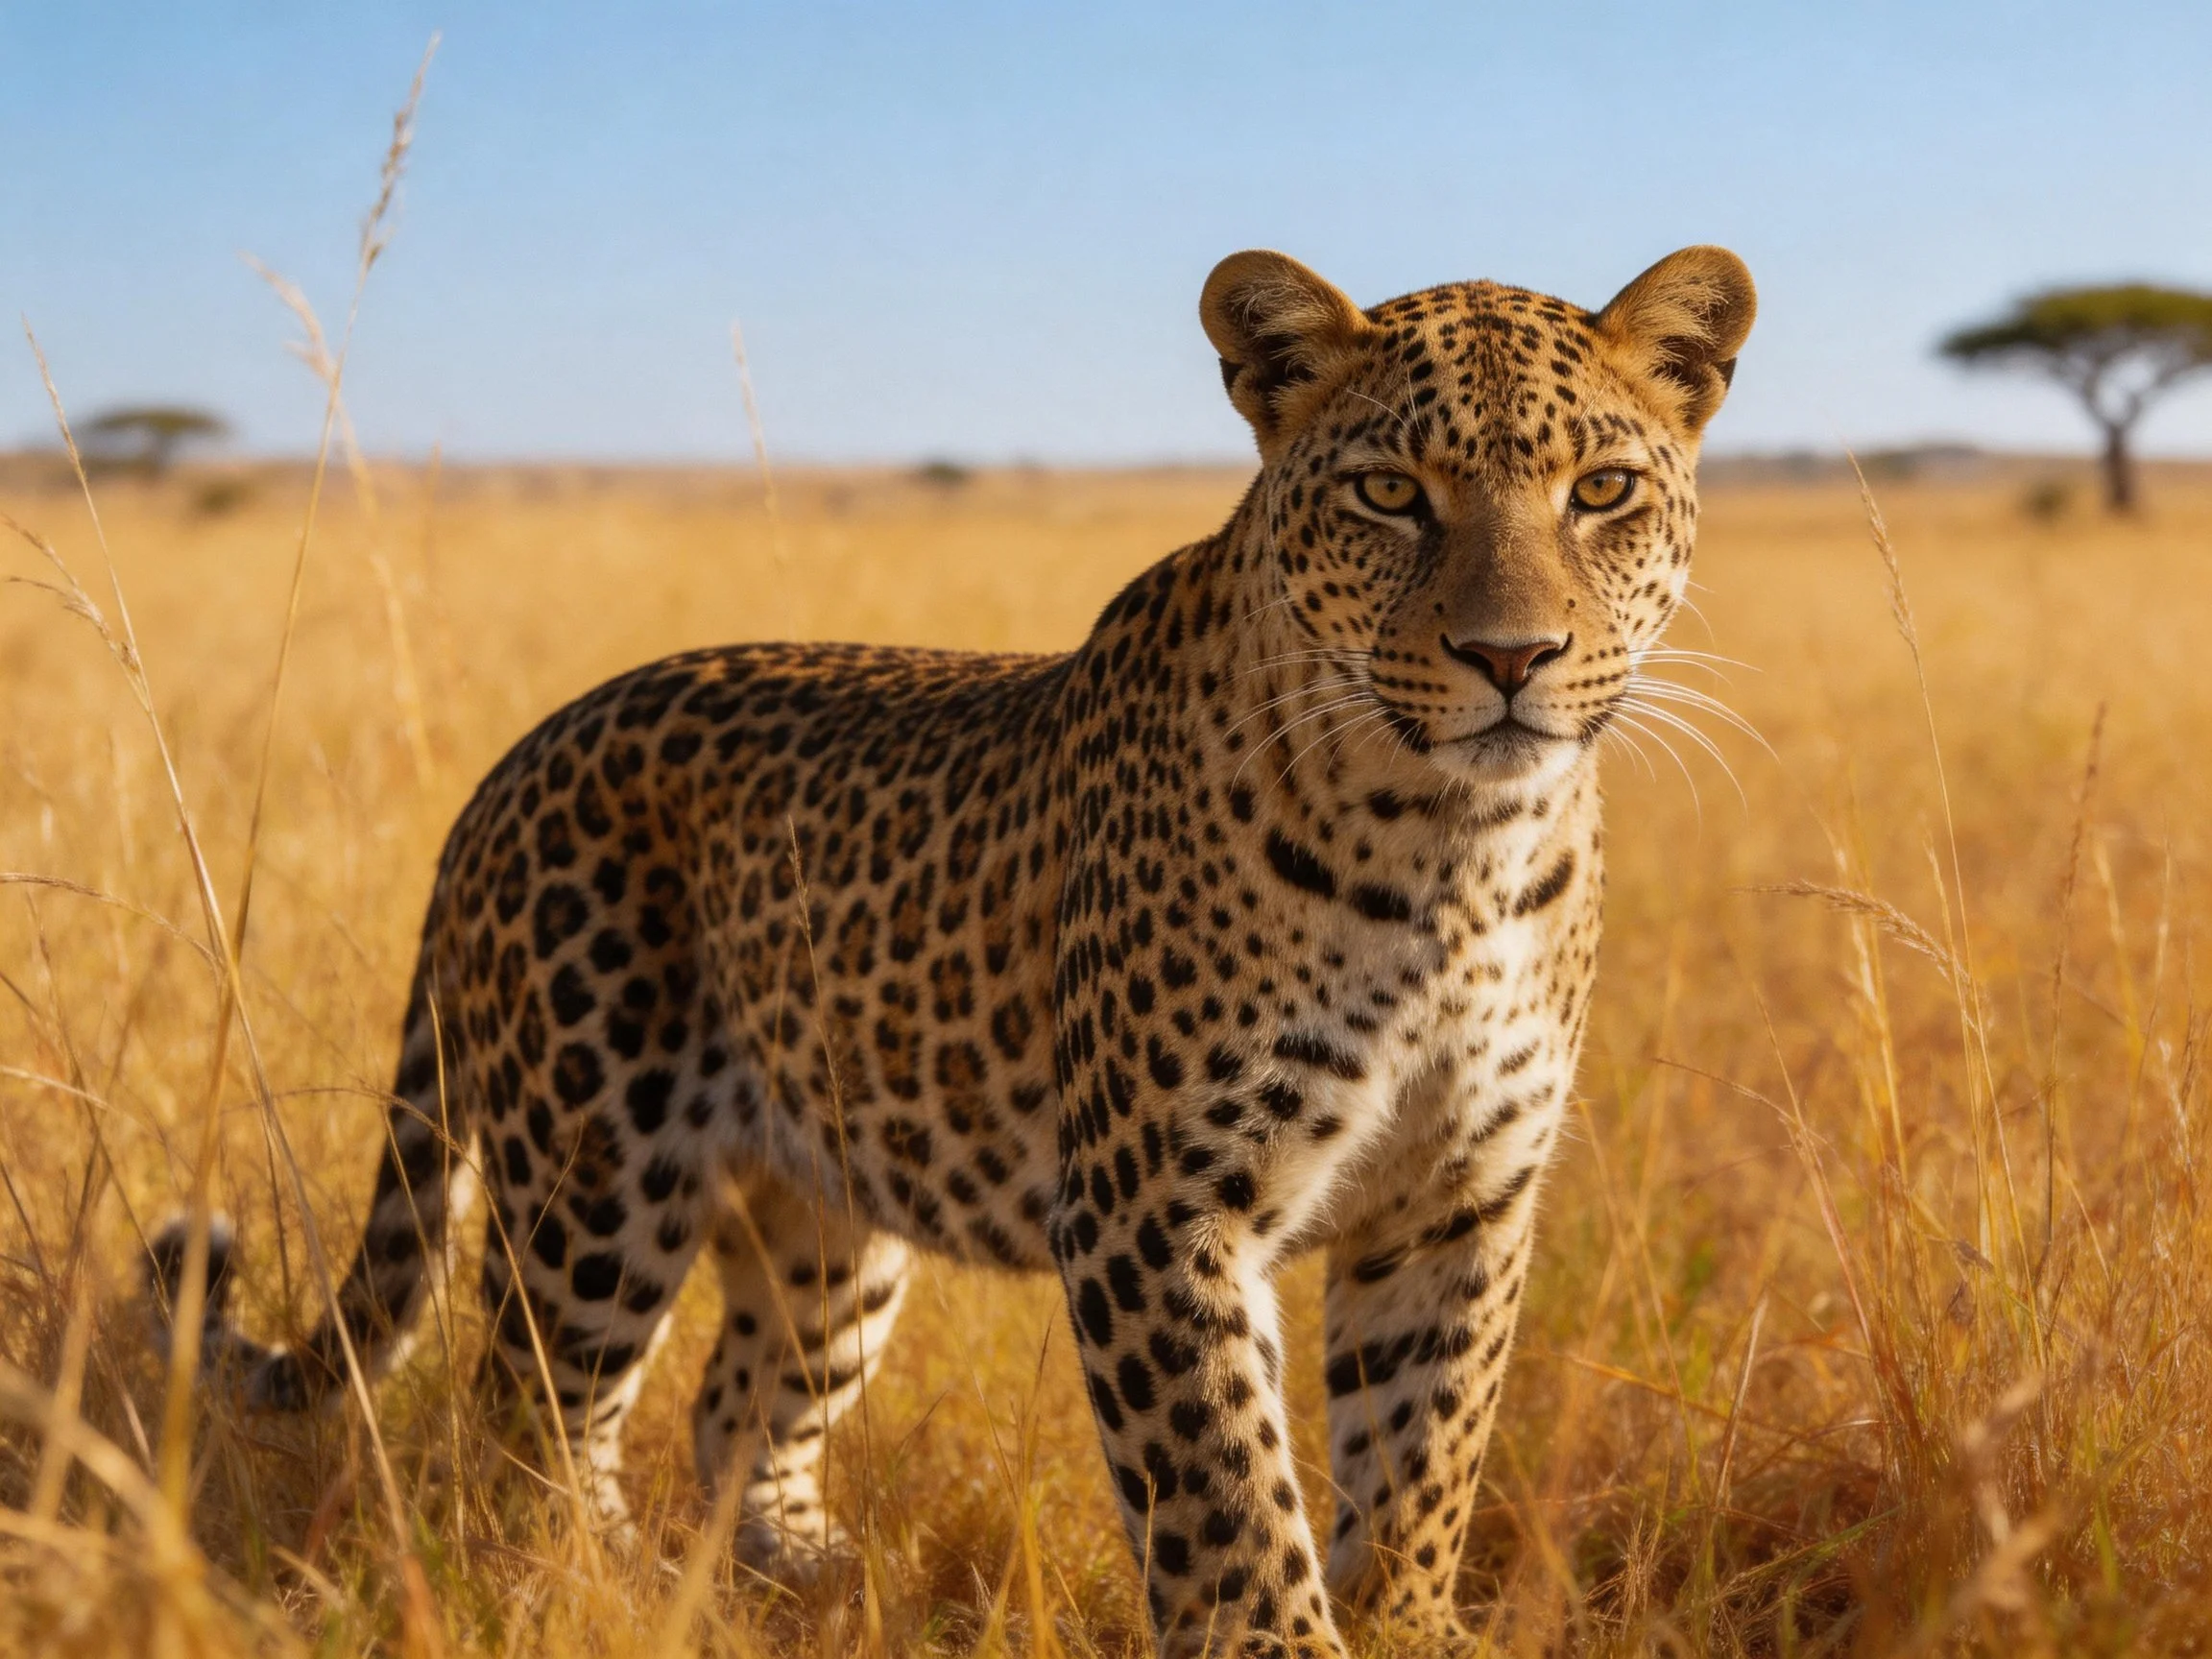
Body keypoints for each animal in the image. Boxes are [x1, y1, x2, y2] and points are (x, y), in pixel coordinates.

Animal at [152, 243, 1753, 1656]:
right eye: (1390, 495)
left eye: (1601, 492)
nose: (1511, 659)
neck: (1453, 853)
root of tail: (514, 760)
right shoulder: (1160, 1210)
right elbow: (1226, 1489)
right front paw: (1286, 1644)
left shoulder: (1457, 1202)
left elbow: (1425, 1455)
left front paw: (1412, 1626)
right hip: (594, 1179)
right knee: (528, 1416)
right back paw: (594, 1588)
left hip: (829, 1217)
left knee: (733, 1409)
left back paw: (798, 1573)